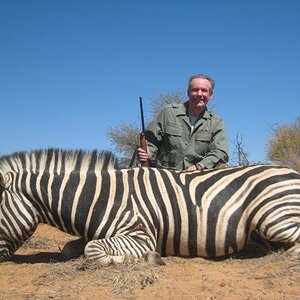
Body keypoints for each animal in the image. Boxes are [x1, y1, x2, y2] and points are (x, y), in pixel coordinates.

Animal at [0, 148, 300, 264]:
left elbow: (92, 250)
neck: (99, 196)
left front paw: (148, 258)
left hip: (273, 217)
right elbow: (70, 249)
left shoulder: (140, 235)